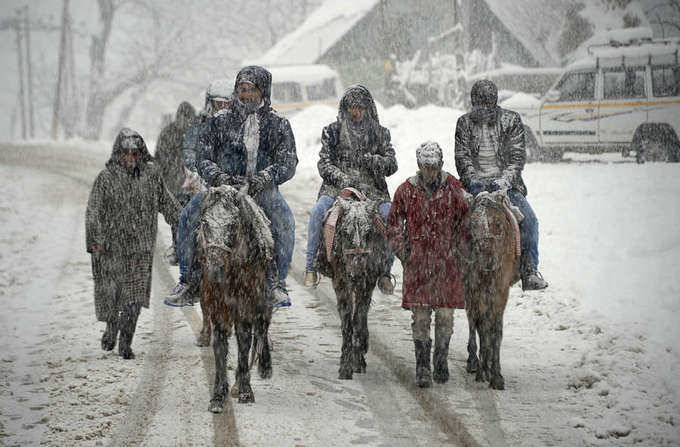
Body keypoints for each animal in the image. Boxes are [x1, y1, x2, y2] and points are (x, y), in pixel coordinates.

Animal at [195, 186, 274, 412]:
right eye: (205, 222)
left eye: (232, 224)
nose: (214, 269)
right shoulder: (217, 303)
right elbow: (220, 343)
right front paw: (218, 396)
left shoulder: (245, 304)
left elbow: (244, 340)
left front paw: (245, 390)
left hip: (263, 297)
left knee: (262, 325)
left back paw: (264, 367)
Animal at [314, 192, 386, 382]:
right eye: (345, 232)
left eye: (369, 232)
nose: (356, 274)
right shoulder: (341, 283)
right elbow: (347, 322)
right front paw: (345, 367)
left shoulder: (367, 284)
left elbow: (358, 319)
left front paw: (358, 361)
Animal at [464, 191, 524, 390]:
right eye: (473, 223)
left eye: (498, 223)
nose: (487, 260)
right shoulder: (475, 288)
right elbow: (482, 326)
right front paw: (482, 369)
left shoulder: (500, 289)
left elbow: (496, 328)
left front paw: (496, 374)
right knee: (473, 321)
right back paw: (474, 362)